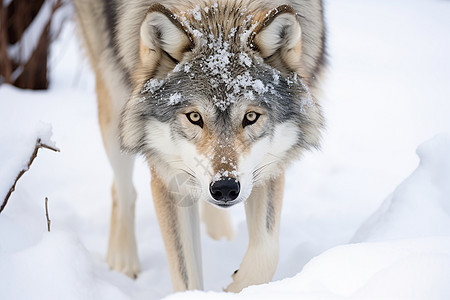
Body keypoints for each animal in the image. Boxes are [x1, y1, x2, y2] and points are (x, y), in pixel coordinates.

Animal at [73, 0, 326, 292]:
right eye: (194, 117)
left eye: (250, 117)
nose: (225, 188)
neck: (222, 9)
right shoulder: (169, 175)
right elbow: (186, 275)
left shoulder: (269, 164)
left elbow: (266, 250)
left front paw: (237, 287)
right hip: (115, 101)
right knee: (122, 189)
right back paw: (122, 261)